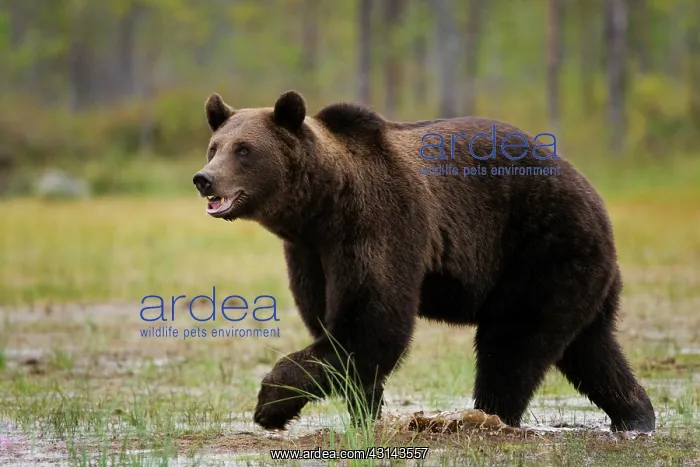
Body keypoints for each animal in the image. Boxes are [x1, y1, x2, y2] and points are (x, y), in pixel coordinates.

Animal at [192, 90, 656, 433]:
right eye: (214, 147)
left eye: (244, 149)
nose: (204, 178)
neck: (323, 206)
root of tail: (594, 196)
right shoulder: (311, 254)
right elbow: (334, 326)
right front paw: (364, 413)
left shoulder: (379, 224)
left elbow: (373, 326)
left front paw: (271, 404)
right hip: (582, 273)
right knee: (590, 348)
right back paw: (635, 414)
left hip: (542, 246)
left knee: (513, 343)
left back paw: (489, 415)